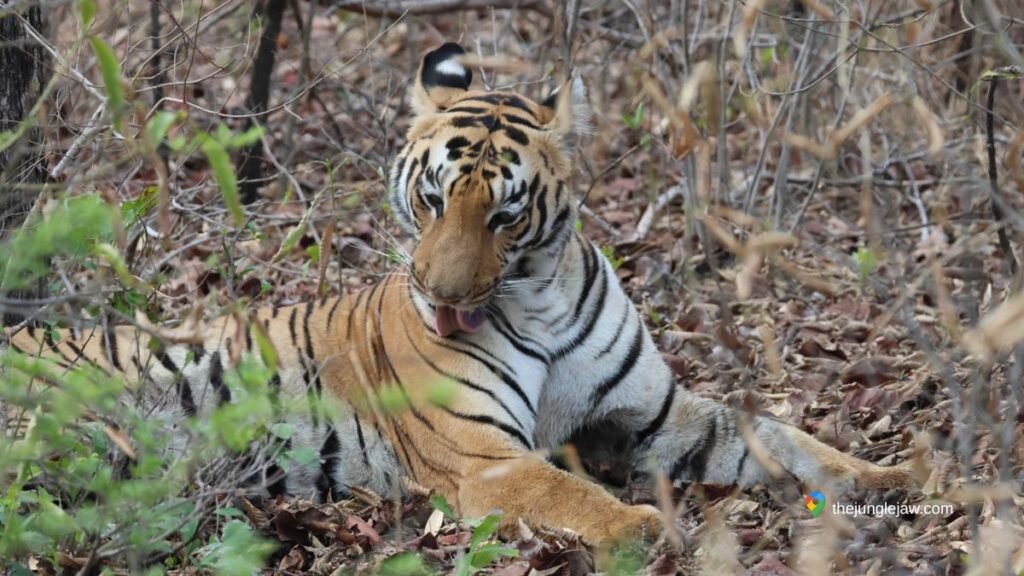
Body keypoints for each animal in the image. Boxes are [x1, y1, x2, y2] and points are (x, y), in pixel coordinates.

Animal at [4, 42, 923, 546]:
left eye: (504, 215)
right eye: (431, 199)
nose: (441, 297)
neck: (542, 299)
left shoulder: (663, 418)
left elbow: (789, 439)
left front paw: (908, 474)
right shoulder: (486, 455)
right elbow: (573, 495)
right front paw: (648, 532)